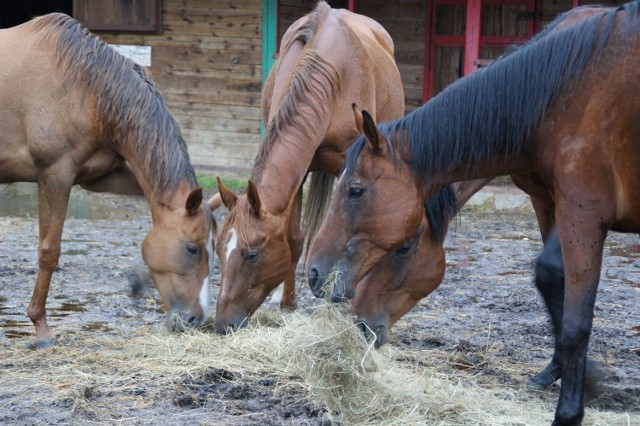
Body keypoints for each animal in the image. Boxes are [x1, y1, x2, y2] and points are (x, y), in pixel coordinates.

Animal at [0, 14, 215, 346]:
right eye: (192, 248)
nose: (195, 319)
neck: (86, 87)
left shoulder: (102, 177)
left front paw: (138, 280)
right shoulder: (55, 174)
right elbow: (49, 252)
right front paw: (41, 327)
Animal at [211, 0, 404, 332]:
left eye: (252, 254)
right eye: (220, 249)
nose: (223, 324)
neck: (331, 74)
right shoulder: (298, 176)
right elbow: (294, 240)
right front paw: (288, 303)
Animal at [304, 2, 640, 422]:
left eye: (356, 191)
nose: (314, 273)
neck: (565, 93)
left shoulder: (584, 212)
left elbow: (576, 320)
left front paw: (572, 402)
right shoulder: (549, 200)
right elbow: (551, 275)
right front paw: (562, 370)